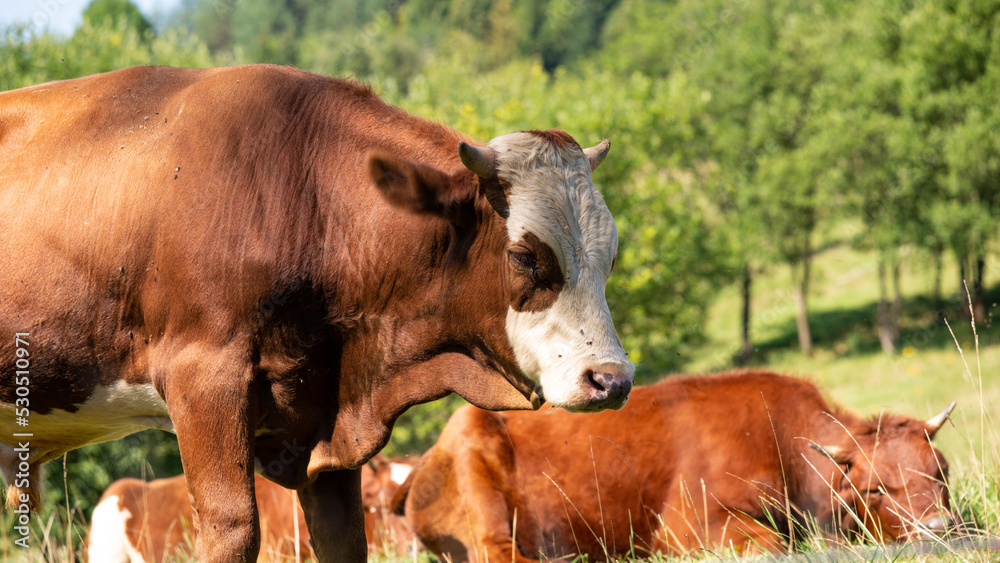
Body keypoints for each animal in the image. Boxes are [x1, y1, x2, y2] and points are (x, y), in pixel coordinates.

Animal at [396, 370, 955, 561]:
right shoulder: (691, 524)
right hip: (479, 476)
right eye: (876, 488)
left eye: (941, 472)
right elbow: (773, 545)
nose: (939, 528)